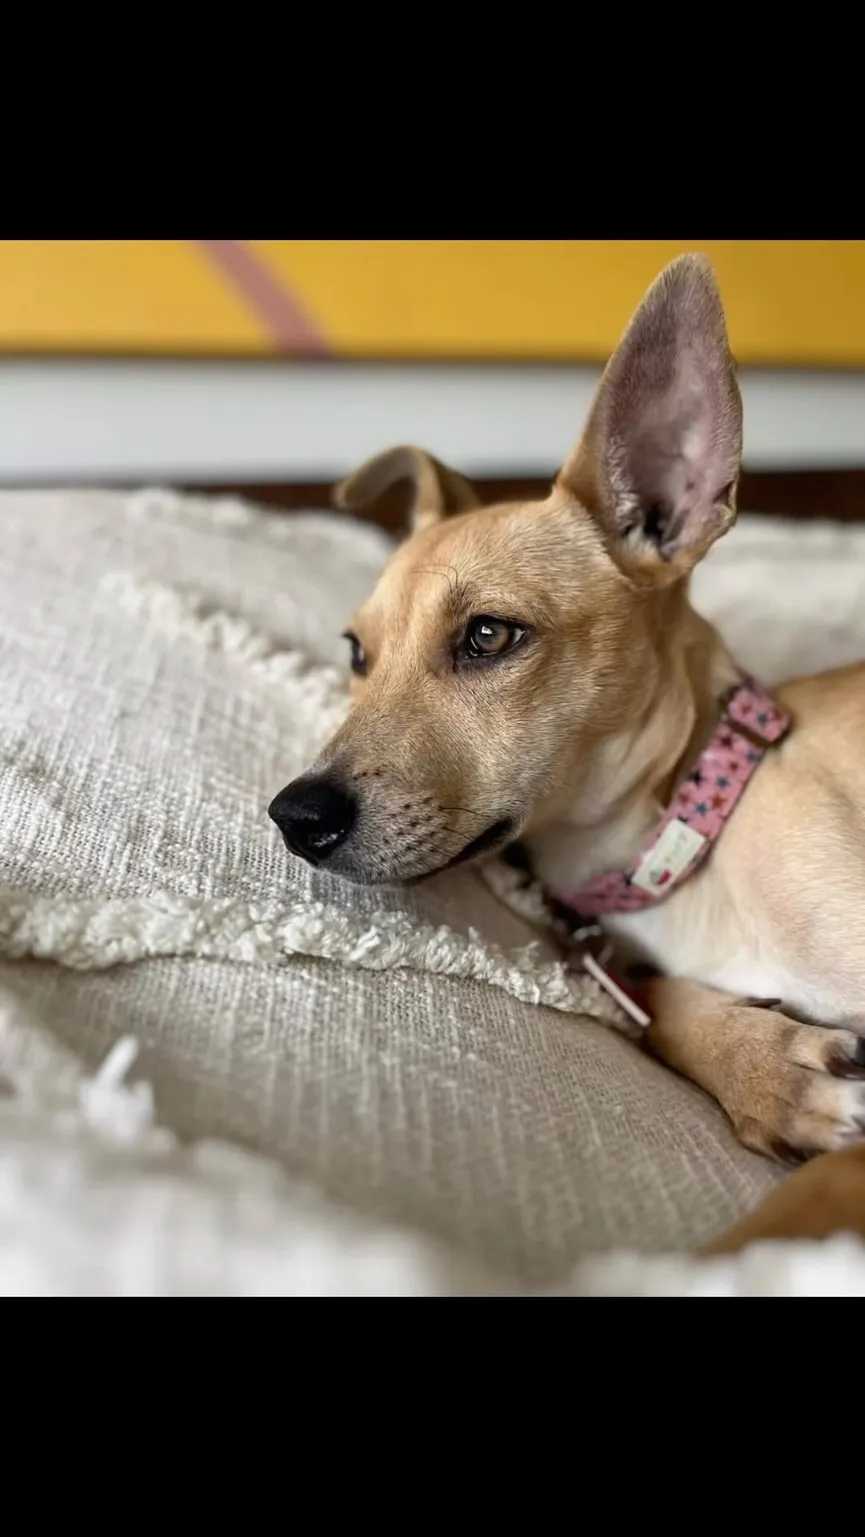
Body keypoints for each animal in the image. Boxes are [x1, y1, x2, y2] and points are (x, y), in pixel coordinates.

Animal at [267, 252, 865, 1254]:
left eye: (488, 635)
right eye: (355, 653)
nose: (293, 817)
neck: (689, 839)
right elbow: (657, 1007)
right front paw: (765, 1068)